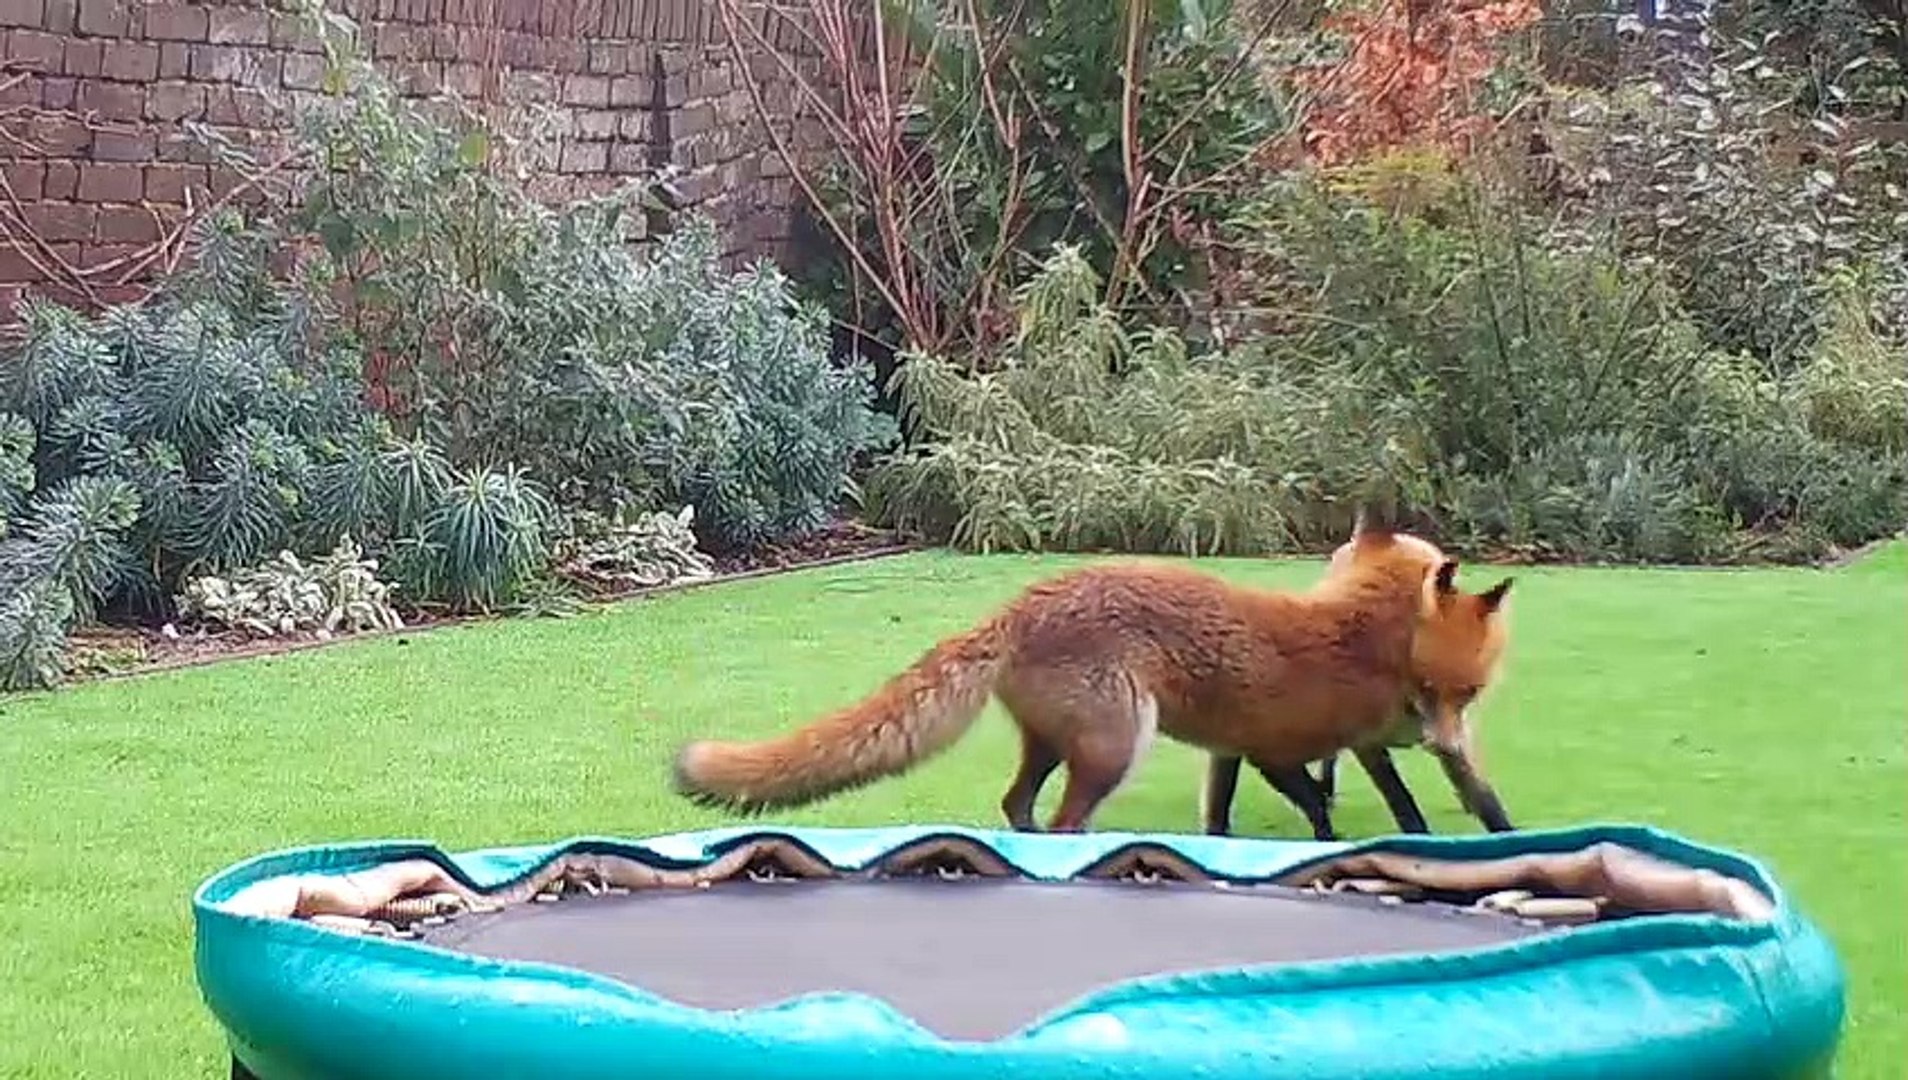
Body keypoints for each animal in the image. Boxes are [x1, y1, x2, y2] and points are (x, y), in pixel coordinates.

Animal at [669, 515, 1517, 840]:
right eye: (1449, 690)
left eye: (1471, 694)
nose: (1442, 736)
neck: (1362, 640)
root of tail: (1018, 606)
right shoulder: (1277, 747)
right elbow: (1329, 802)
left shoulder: (1256, 748)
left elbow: (1465, 797)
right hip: (1116, 745)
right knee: (1064, 821)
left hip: (1055, 743)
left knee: (1018, 805)